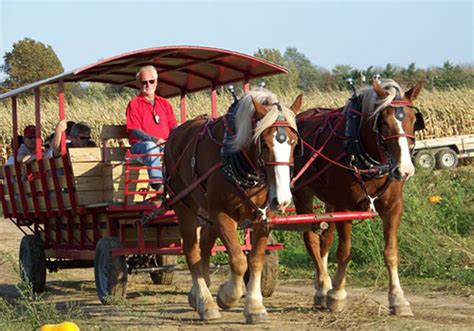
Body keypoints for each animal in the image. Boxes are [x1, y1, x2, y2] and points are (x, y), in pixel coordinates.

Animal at [165, 88, 302, 324]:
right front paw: (227, 296)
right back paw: (205, 302)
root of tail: (175, 134)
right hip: (184, 206)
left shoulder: (264, 216)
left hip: (207, 211)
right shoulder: (221, 214)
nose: (282, 199)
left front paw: (255, 307)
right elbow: (238, 260)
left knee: (205, 245)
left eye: (293, 143)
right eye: (265, 144)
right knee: (192, 252)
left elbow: (255, 260)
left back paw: (196, 295)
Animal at [294, 79, 424, 318]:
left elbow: (391, 252)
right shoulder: (344, 208)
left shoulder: (393, 207)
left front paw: (398, 299)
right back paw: (324, 288)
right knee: (312, 240)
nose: (405, 170)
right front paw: (337, 295)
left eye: (413, 119)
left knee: (325, 239)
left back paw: (321, 285)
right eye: (383, 122)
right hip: (302, 194)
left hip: (329, 203)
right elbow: (344, 252)